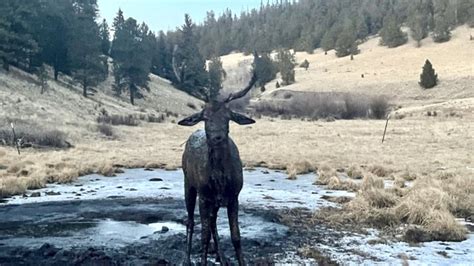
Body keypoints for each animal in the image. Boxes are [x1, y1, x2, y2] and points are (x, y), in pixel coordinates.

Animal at [173, 46, 258, 264]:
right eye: (205, 116)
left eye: (228, 116)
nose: (217, 137)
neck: (220, 178)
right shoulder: (204, 196)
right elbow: (203, 237)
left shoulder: (234, 196)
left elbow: (236, 237)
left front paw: (240, 261)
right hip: (188, 183)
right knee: (191, 221)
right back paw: (187, 259)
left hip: (215, 201)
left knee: (212, 224)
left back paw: (222, 257)